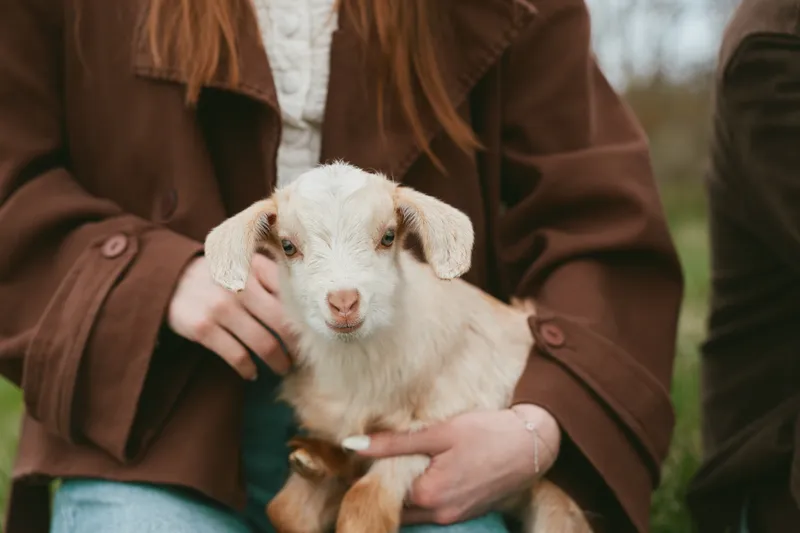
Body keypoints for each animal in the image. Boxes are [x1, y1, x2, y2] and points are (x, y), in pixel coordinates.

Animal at [204, 162, 592, 533]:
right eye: (288, 246)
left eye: (388, 236)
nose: (344, 302)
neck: (361, 369)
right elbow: (286, 511)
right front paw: (321, 462)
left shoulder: (438, 429)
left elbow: (364, 506)